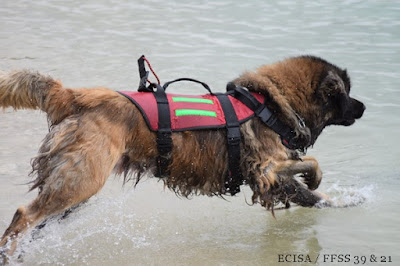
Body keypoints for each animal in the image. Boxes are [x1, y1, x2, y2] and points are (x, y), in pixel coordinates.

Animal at [0, 55, 364, 262]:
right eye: (344, 93)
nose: (363, 106)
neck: (269, 103)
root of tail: (74, 95)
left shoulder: (272, 178)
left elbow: (314, 197)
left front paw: (345, 201)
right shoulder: (267, 168)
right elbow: (311, 166)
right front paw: (317, 177)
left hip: (72, 186)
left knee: (36, 221)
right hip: (81, 180)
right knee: (24, 216)